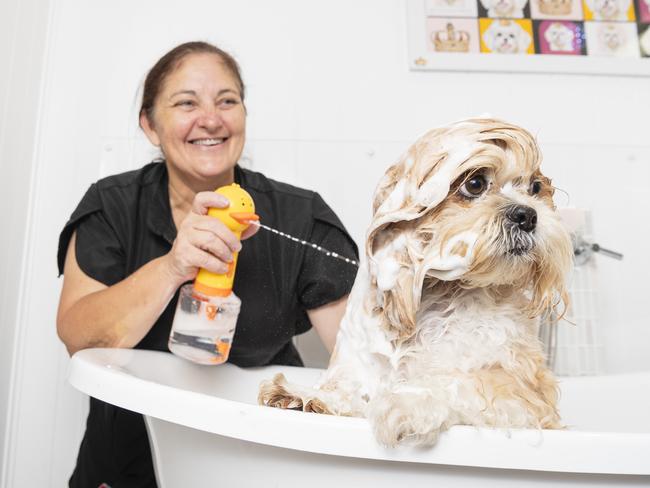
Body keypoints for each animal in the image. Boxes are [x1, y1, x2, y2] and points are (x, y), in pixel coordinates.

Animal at [258, 117, 572, 446]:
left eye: (535, 187)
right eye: (475, 184)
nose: (527, 215)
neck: (448, 298)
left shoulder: (529, 396)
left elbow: (463, 383)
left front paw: (406, 401)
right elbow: (360, 392)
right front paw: (308, 395)